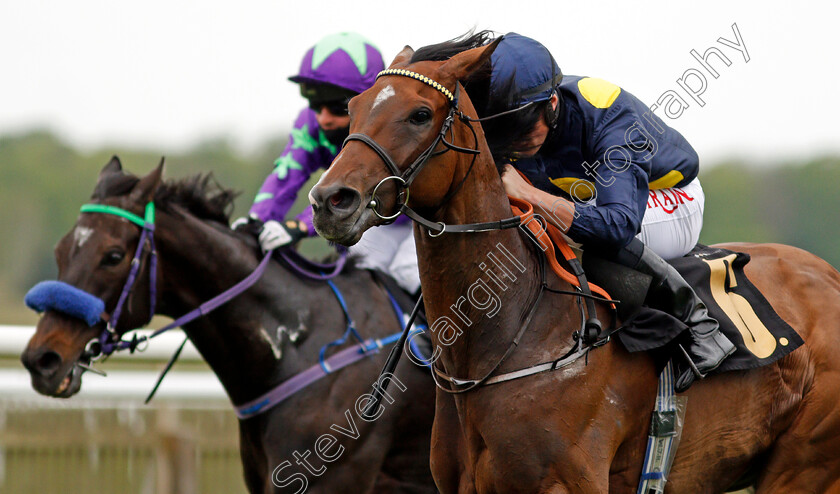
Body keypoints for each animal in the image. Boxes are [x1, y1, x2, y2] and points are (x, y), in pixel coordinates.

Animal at [306, 36, 840, 492]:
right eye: (352, 108)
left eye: (420, 114)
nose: (331, 200)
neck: (504, 339)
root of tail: (827, 273)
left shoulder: (567, 482)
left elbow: (617, 220)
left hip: (802, 466)